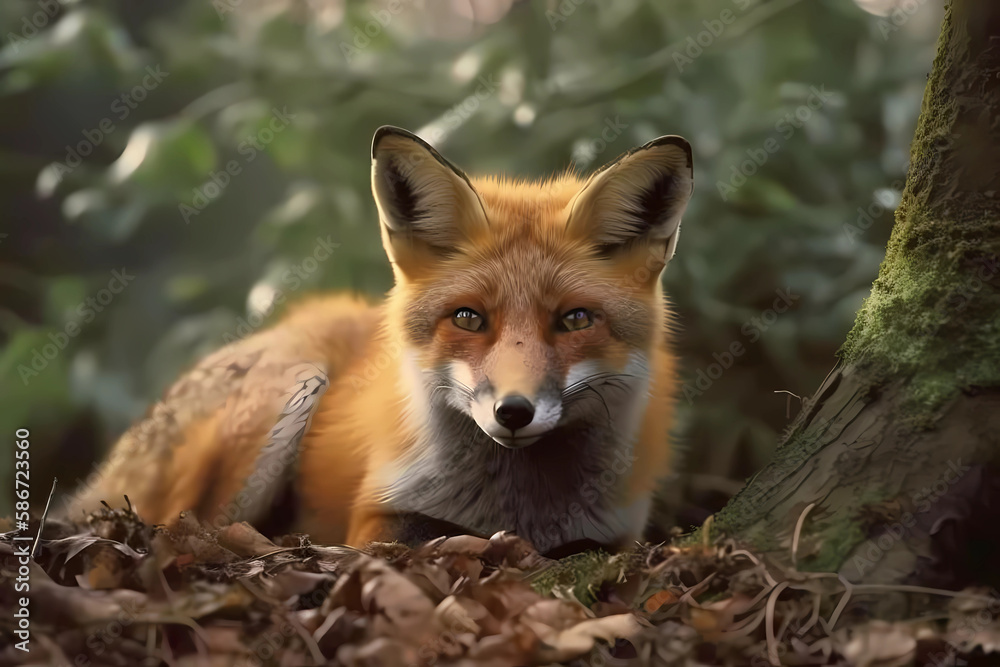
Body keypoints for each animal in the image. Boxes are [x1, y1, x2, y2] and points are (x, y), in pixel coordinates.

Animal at [67, 126, 694, 556]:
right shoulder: (375, 517)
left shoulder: (616, 534)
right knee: (184, 527)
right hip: (286, 398)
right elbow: (425, 538)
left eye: (574, 320)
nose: (513, 412)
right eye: (469, 319)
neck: (520, 505)